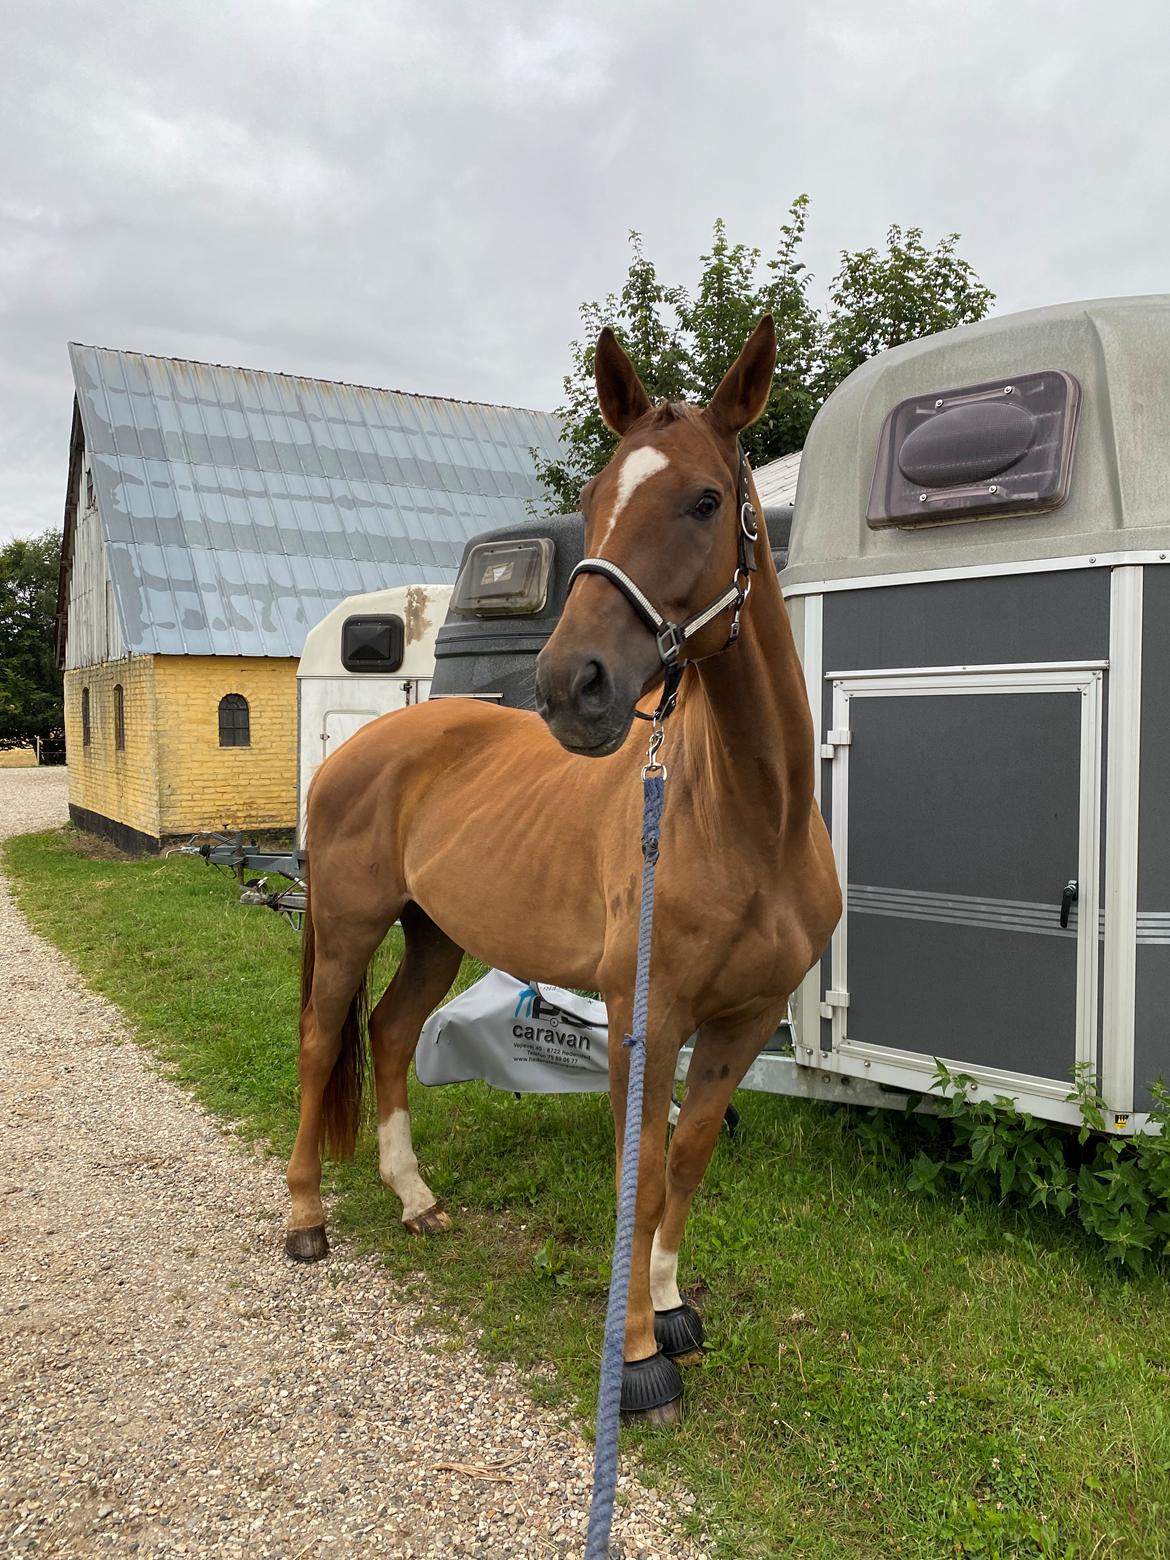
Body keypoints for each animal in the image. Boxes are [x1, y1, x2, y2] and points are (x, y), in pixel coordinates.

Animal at [293, 322, 842, 1422]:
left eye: (706, 501)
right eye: (592, 500)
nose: (568, 685)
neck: (749, 824)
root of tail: (354, 748)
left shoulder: (742, 1020)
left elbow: (687, 1156)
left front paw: (672, 1308)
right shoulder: (648, 1016)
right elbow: (639, 1176)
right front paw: (636, 1361)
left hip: (434, 934)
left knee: (388, 1033)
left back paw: (415, 1198)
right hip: (350, 927)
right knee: (322, 1039)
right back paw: (302, 1220)